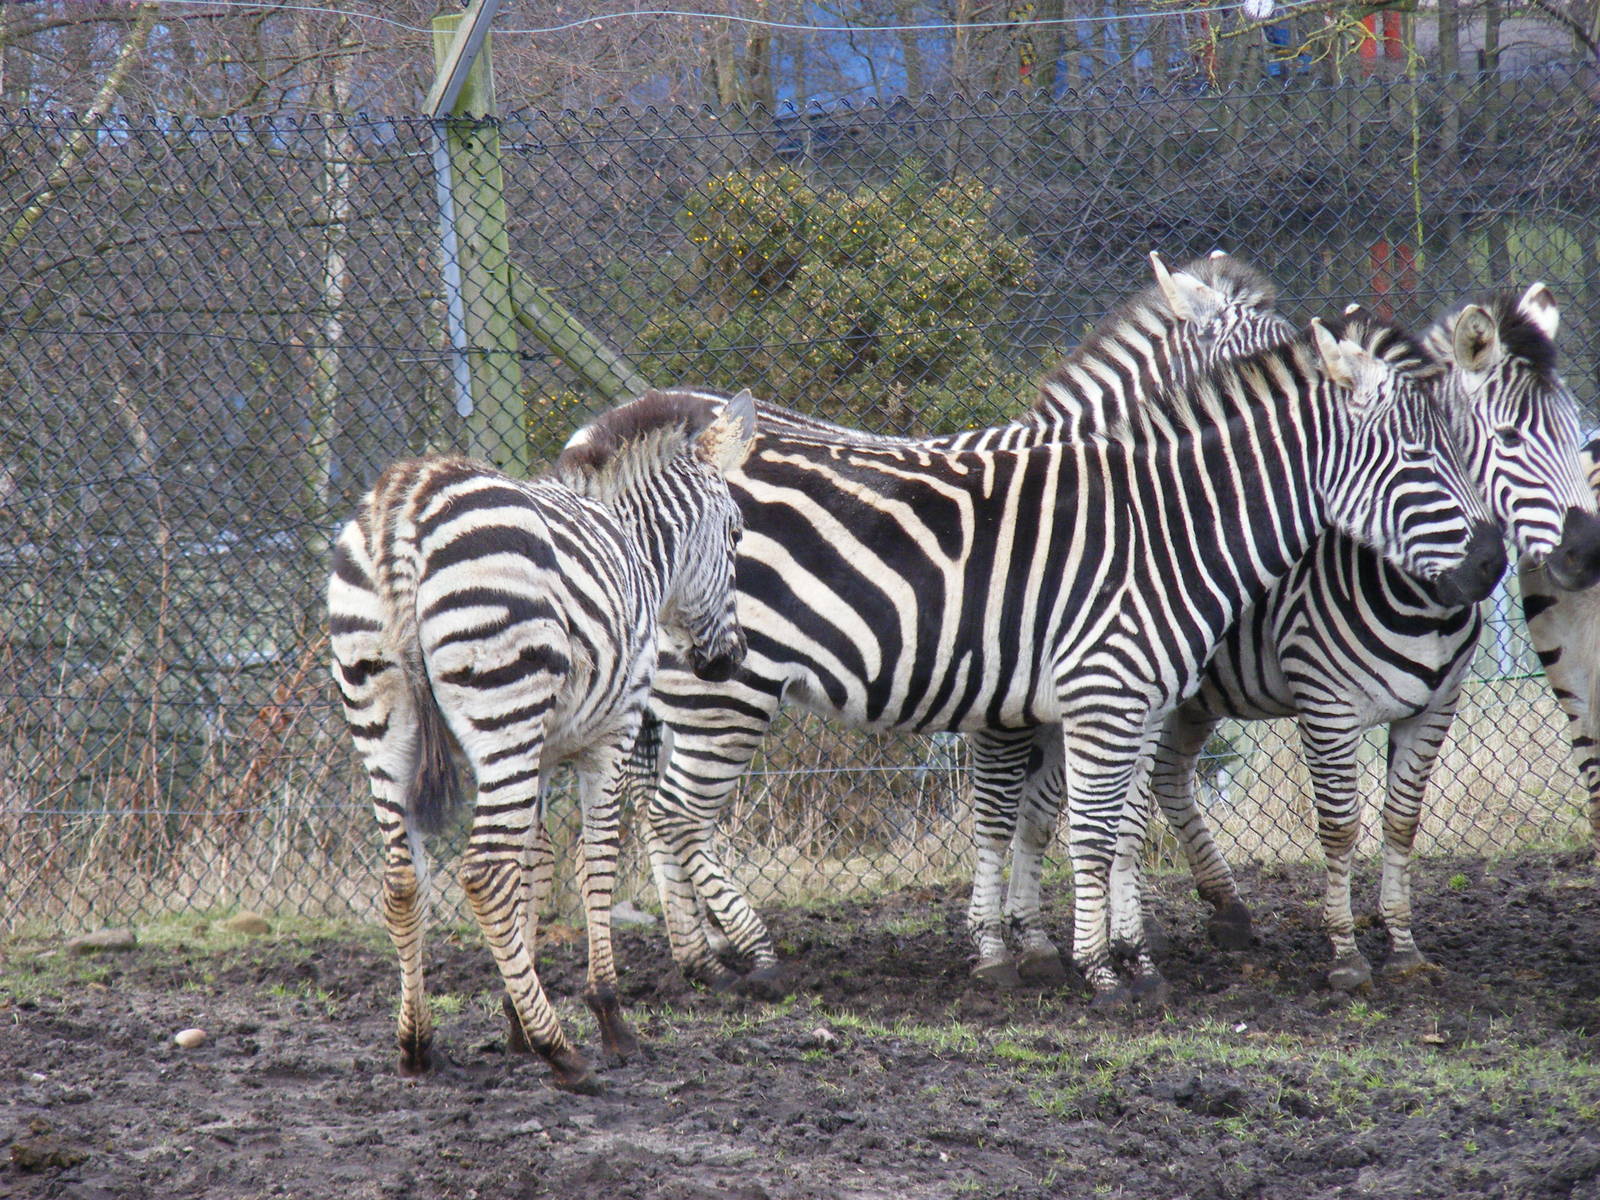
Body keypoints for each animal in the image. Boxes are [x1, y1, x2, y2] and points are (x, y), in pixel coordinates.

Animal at [327, 388, 757, 1093]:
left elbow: (535, 861)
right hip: (505, 704)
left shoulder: (544, 751)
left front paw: (515, 1020)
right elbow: (594, 860)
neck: (636, 544)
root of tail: (407, 501)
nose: (729, 660)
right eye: (738, 533)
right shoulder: (610, 733)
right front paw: (605, 1018)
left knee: (404, 877)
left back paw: (417, 1045)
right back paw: (565, 1054)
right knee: (481, 872)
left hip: (385, 721)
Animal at [639, 310, 1505, 1006]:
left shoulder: (1143, 702)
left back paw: (700, 962)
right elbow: (1083, 831)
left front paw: (1133, 959)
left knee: (662, 812)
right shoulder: (1102, 693)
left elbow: (1115, 830)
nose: (1493, 564)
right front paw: (1098, 971)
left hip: (693, 691)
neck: (1174, 526)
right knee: (677, 812)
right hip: (726, 687)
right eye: (1420, 459)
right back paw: (744, 958)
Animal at [1001, 286, 1600, 992]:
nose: (1588, 552)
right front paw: (1346, 955)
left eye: (1575, 429)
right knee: (1049, 809)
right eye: (1509, 437)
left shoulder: (1436, 707)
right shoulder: (1326, 704)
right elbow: (1340, 828)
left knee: (1159, 783)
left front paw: (1403, 947)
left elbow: (1401, 821)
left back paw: (1212, 913)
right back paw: (1036, 944)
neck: (1413, 591)